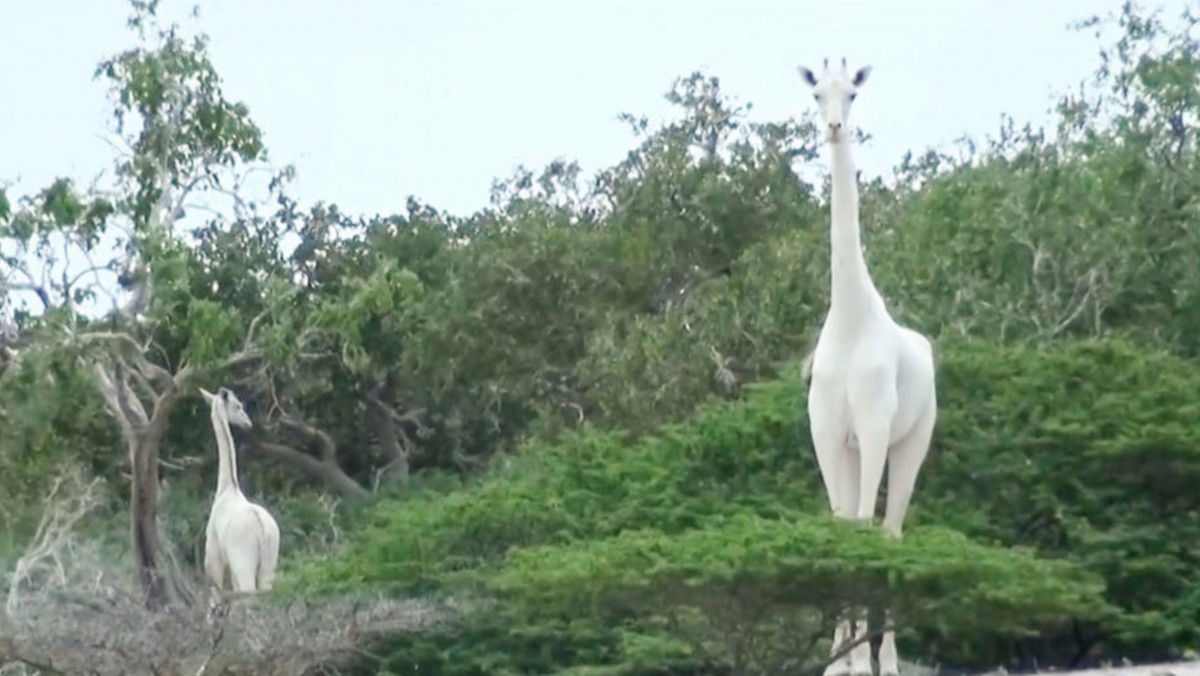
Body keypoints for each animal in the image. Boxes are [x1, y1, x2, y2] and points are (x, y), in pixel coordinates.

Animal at [199, 389, 280, 595]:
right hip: (268, 566)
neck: (227, 488)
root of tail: (262, 529)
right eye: (237, 406)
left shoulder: (214, 559)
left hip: (243, 562)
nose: (247, 423)